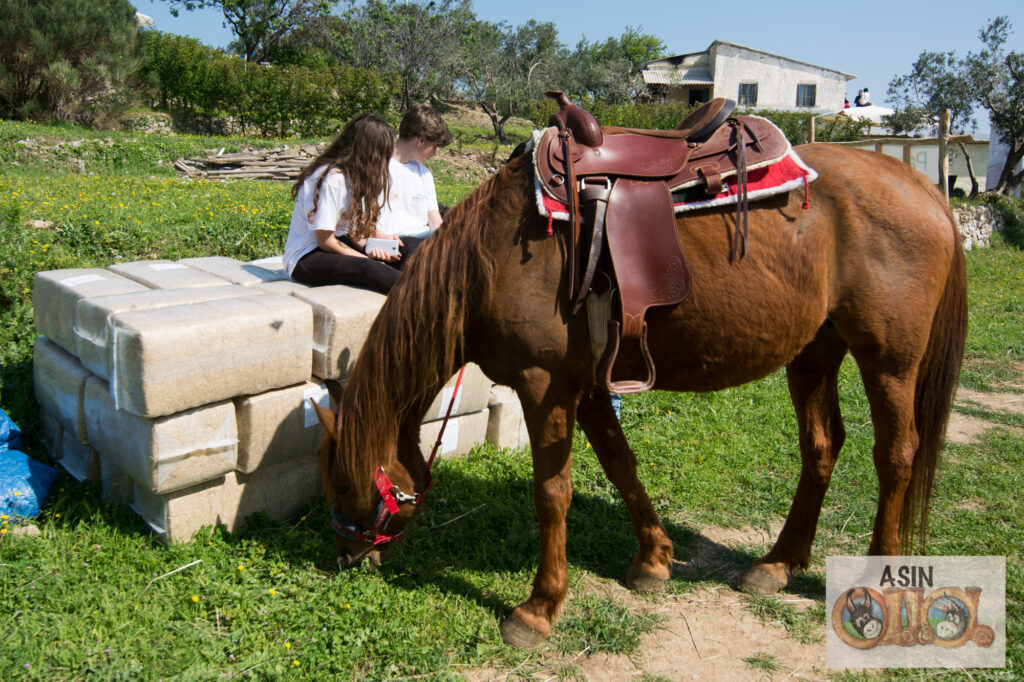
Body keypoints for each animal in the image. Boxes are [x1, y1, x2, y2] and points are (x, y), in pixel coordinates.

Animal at [311, 140, 966, 647]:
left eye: (341, 482)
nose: (344, 557)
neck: (489, 257)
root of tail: (924, 187)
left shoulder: (544, 383)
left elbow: (552, 492)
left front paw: (539, 609)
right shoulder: (589, 384)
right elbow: (620, 464)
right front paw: (653, 560)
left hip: (889, 361)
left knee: (897, 455)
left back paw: (875, 578)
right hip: (813, 354)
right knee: (822, 446)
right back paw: (777, 565)